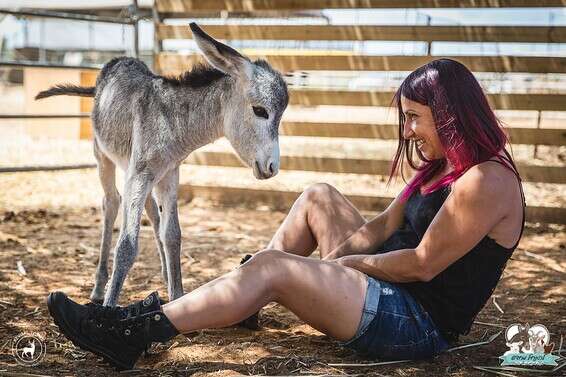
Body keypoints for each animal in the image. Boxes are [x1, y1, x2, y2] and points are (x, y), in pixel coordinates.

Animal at [36, 22, 288, 306]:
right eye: (260, 111)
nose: (272, 167)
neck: (171, 121)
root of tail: (116, 62)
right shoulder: (140, 174)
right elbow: (127, 244)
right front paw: (109, 307)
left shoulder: (168, 173)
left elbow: (172, 235)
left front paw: (176, 295)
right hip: (103, 157)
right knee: (111, 202)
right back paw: (100, 288)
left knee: (150, 211)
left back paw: (163, 275)